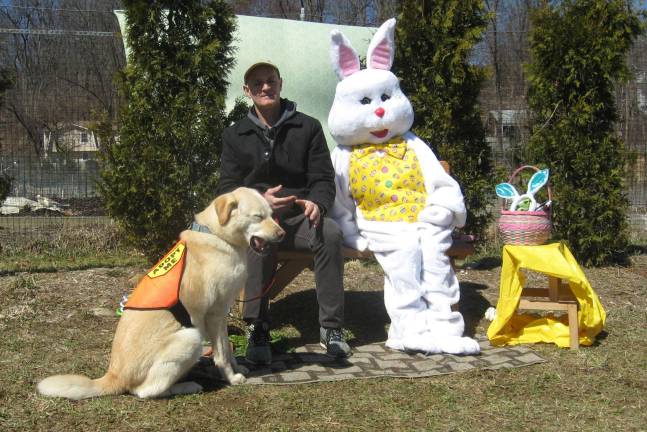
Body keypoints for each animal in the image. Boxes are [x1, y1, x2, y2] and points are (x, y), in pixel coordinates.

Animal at [37, 187, 284, 400]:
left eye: (272, 215)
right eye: (258, 216)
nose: (282, 234)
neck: (217, 236)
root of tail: (114, 376)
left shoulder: (222, 315)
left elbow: (228, 350)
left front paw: (237, 366)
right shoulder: (215, 315)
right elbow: (222, 353)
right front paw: (231, 378)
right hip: (191, 337)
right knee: (144, 391)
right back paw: (186, 386)